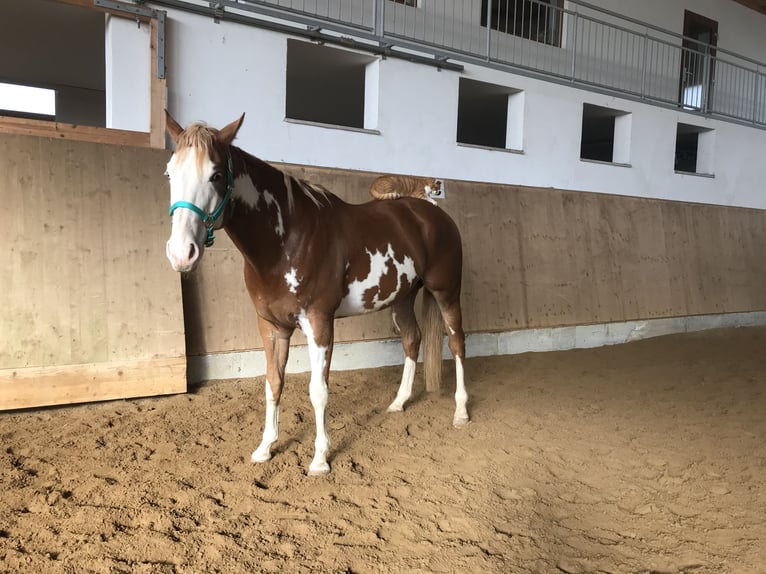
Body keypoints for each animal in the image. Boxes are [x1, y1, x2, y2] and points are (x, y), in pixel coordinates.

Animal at [165, 112, 472, 476]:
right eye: (169, 173)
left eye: (215, 175)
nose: (181, 253)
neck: (287, 239)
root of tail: (432, 212)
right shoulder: (271, 326)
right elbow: (273, 383)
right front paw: (265, 448)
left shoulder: (318, 322)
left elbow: (318, 391)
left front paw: (320, 459)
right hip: (402, 298)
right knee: (412, 339)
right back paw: (398, 403)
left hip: (446, 291)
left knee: (457, 343)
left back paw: (461, 413)